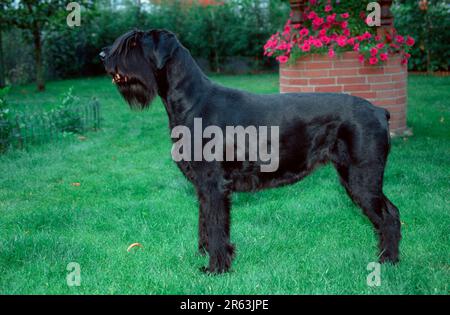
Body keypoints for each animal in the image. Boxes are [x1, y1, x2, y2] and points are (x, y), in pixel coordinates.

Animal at [101, 29, 400, 274]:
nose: (103, 55)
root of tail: (379, 111)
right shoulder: (203, 187)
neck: (193, 101)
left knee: (389, 215)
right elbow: (205, 222)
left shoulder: (213, 184)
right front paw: (206, 255)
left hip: (361, 177)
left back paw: (388, 261)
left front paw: (216, 268)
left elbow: (216, 224)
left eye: (134, 43)